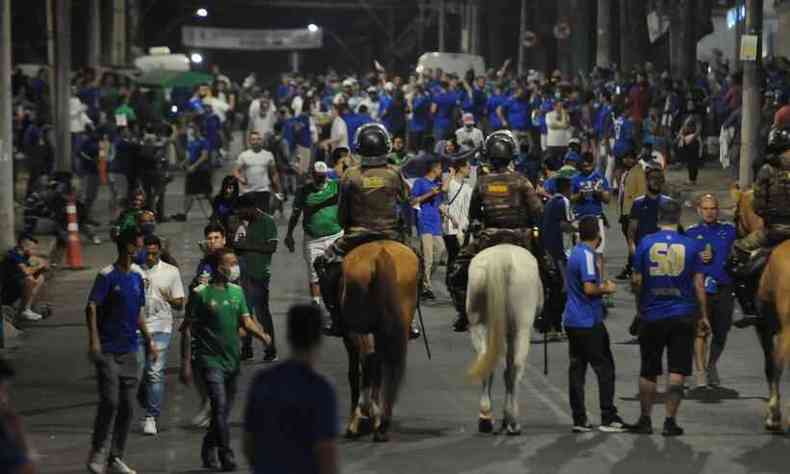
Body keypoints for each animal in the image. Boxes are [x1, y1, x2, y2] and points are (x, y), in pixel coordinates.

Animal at [344, 241, 424, 440]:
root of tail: (380, 254)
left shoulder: (349, 338)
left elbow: (354, 374)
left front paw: (356, 420)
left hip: (361, 329)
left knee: (370, 361)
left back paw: (368, 414)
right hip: (398, 323)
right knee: (389, 365)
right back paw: (382, 424)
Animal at [468, 243, 548, 436]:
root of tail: (501, 258)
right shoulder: (512, 334)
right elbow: (510, 369)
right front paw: (507, 419)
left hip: (479, 324)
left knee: (486, 361)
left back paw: (485, 418)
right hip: (522, 327)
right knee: (516, 367)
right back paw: (512, 421)